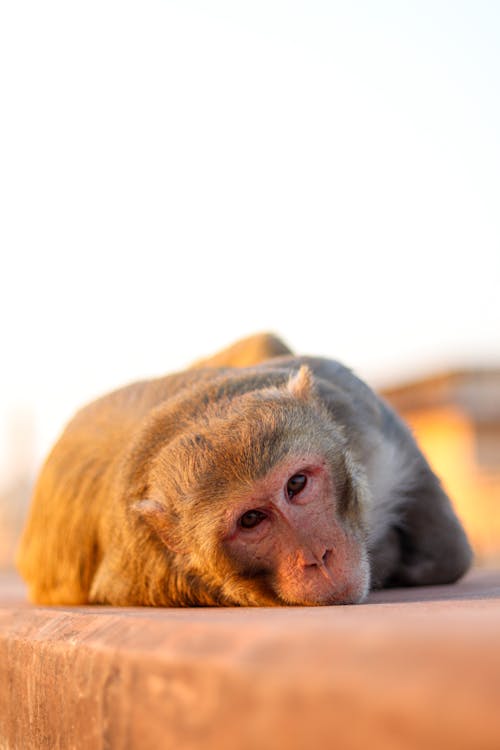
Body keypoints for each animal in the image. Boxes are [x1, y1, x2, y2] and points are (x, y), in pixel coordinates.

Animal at [16, 338, 472, 608]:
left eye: (296, 484)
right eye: (251, 519)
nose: (317, 557)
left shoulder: (358, 408)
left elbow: (449, 549)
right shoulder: (152, 577)